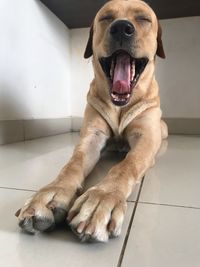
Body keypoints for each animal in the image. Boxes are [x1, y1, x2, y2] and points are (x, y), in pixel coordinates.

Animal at [16, 0, 168, 243]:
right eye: (106, 18)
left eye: (143, 18)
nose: (122, 27)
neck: (120, 106)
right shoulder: (92, 136)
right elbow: (72, 164)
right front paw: (51, 194)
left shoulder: (146, 138)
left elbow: (127, 165)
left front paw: (101, 198)